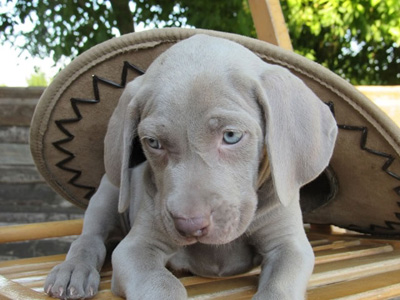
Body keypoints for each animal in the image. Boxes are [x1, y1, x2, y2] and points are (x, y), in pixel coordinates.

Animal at [43, 34, 338, 298]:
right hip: (108, 193)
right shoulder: (134, 249)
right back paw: (73, 271)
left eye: (231, 136)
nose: (189, 225)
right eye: (153, 142)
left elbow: (278, 287)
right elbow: (164, 285)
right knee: (89, 238)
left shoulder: (289, 245)